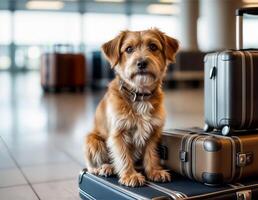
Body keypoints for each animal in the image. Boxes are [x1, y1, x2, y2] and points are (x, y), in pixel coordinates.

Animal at [83, 28, 178, 188]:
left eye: (153, 46)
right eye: (128, 49)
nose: (141, 63)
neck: (139, 94)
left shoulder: (153, 132)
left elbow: (151, 154)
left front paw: (154, 171)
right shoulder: (118, 133)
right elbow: (122, 156)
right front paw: (130, 175)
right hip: (93, 140)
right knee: (93, 165)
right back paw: (104, 167)